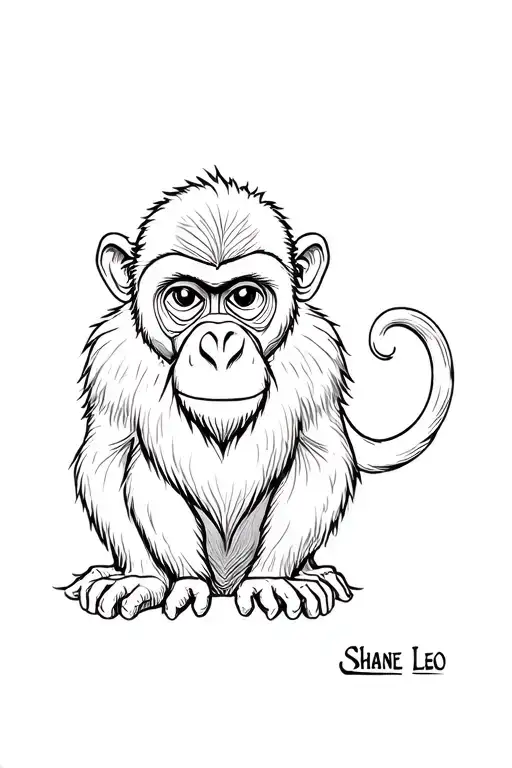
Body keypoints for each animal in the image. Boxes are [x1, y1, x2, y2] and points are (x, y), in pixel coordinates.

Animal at [64, 169, 453, 621]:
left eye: (245, 297)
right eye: (185, 297)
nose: (219, 344)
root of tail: (224, 587)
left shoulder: (316, 357)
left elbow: (320, 457)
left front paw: (273, 580)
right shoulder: (113, 360)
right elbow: (106, 459)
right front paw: (140, 578)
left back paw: (309, 575)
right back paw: (185, 581)